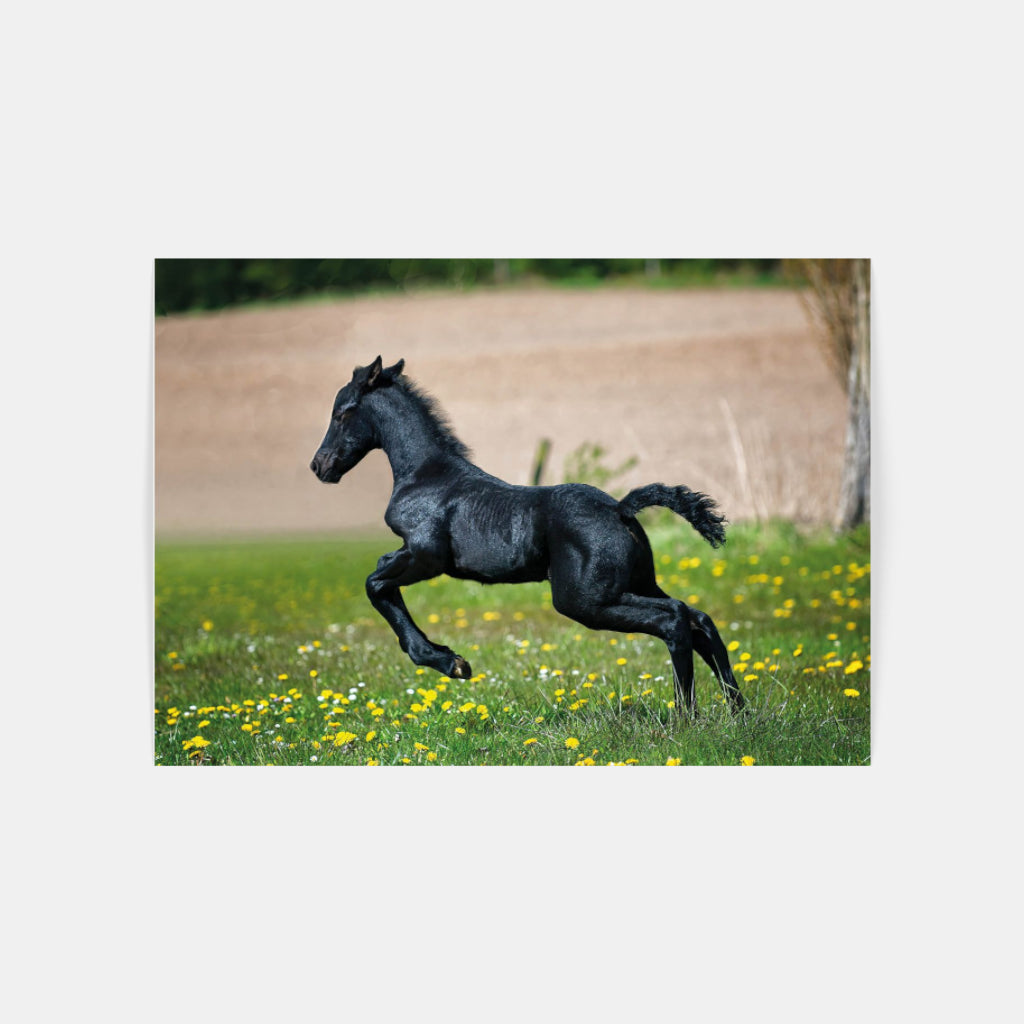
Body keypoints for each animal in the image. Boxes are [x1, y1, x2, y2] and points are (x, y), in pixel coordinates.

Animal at [310, 356, 745, 714]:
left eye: (342, 413)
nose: (319, 466)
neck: (426, 475)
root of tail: (620, 508)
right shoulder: (411, 554)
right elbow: (381, 577)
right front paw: (448, 658)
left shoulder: (426, 556)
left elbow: (375, 583)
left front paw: (451, 663)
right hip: (633, 583)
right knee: (699, 618)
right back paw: (737, 711)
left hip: (585, 600)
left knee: (674, 619)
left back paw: (686, 715)